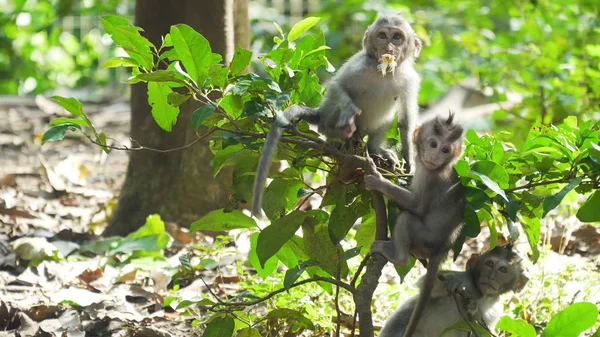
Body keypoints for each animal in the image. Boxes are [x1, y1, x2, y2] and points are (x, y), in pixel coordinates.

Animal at [253, 13, 422, 215]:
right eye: (382, 36)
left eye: (397, 37)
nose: (388, 48)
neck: (386, 73)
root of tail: (320, 114)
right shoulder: (360, 65)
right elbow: (337, 86)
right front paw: (349, 112)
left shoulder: (410, 78)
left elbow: (405, 121)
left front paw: (410, 162)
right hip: (328, 116)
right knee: (334, 108)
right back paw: (340, 137)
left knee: (386, 119)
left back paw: (373, 149)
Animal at [364, 112, 466, 336]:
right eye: (434, 144)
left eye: (445, 150)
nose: (434, 156)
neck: (440, 167)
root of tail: (441, 249)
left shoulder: (429, 177)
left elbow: (416, 206)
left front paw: (378, 180)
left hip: (425, 239)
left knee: (406, 218)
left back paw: (399, 257)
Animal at [378, 244, 528, 336]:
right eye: (489, 264)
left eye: (503, 270)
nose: (491, 277)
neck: (482, 295)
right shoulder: (466, 280)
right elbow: (428, 284)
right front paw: (452, 281)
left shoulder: (495, 310)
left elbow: (482, 331)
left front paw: (473, 308)